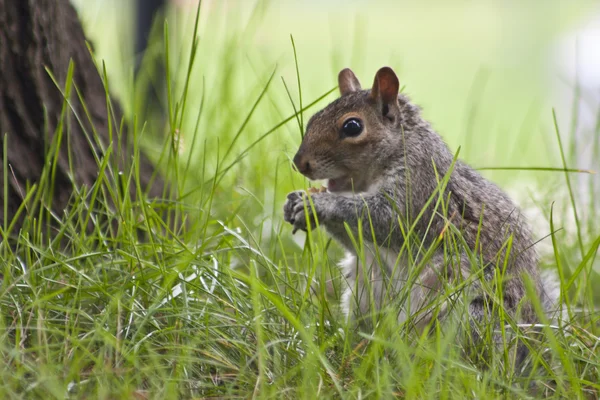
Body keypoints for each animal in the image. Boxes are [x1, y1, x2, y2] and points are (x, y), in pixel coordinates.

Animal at [284, 67, 560, 336]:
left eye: (352, 127)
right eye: (313, 118)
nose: (299, 163)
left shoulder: (420, 190)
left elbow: (384, 219)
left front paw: (319, 204)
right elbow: (357, 240)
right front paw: (296, 203)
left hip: (464, 310)